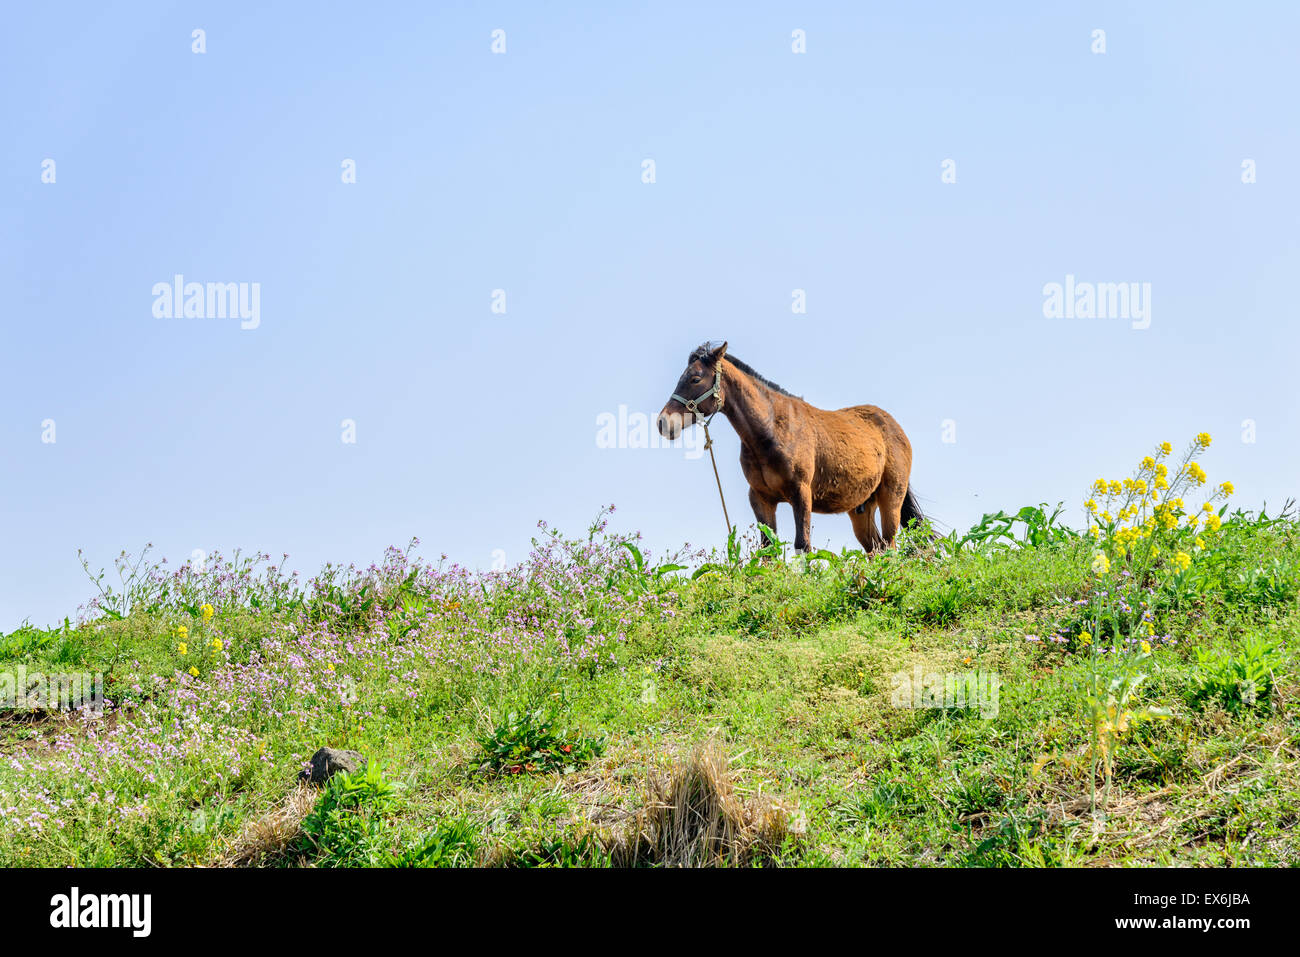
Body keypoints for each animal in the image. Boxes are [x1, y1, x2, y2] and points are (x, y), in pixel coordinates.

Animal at [657, 341, 923, 554]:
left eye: (695, 378)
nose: (663, 423)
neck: (772, 430)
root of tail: (894, 427)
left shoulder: (801, 494)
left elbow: (802, 545)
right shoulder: (760, 498)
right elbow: (767, 549)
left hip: (891, 497)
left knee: (890, 546)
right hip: (861, 508)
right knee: (876, 548)